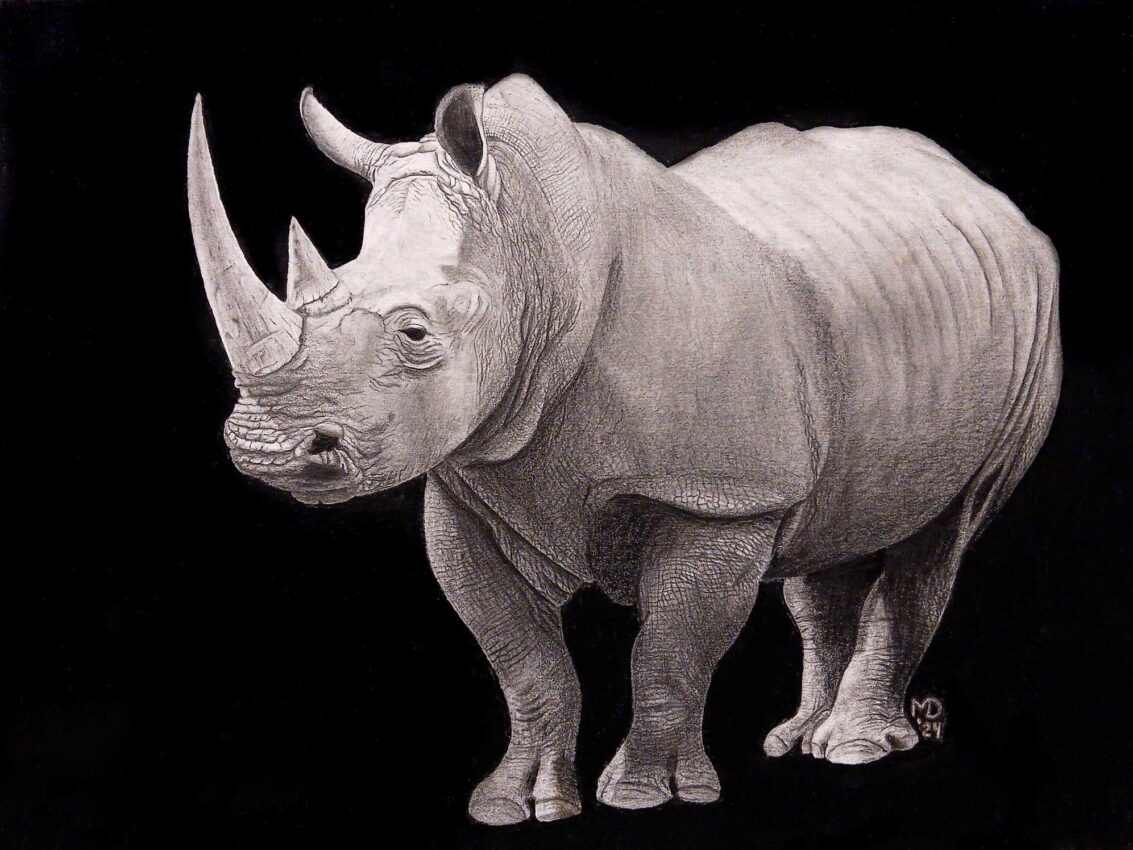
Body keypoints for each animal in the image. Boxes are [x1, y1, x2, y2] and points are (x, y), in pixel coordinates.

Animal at [187, 75, 1061, 824]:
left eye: (414, 334)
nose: (266, 450)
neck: (533, 252)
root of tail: (991, 200)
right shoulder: (470, 487)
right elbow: (523, 660)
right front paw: (515, 804)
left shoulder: (717, 496)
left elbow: (669, 651)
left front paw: (645, 796)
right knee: (830, 533)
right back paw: (793, 740)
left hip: (1032, 322)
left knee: (939, 537)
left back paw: (847, 749)